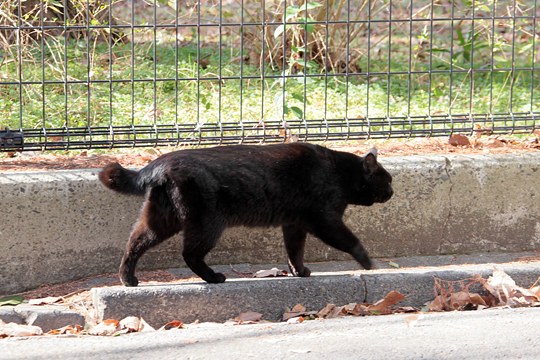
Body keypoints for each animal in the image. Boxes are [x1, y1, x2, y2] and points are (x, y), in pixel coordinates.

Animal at [98, 143, 392, 286]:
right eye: (387, 180)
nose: (392, 191)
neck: (339, 173)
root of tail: (160, 163)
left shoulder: (294, 224)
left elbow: (294, 251)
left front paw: (299, 272)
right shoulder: (325, 219)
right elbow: (350, 240)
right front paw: (369, 263)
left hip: (160, 220)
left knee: (134, 244)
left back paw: (128, 279)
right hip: (207, 223)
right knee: (190, 254)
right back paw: (214, 277)